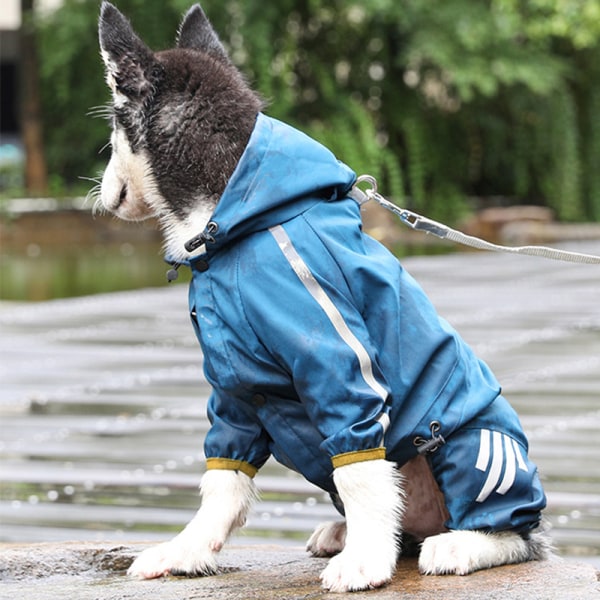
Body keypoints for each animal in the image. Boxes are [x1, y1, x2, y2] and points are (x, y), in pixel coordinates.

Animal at [96, 3, 552, 592]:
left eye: (113, 125)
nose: (102, 195)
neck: (235, 223)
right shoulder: (233, 386)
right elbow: (224, 480)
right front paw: (187, 549)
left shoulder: (335, 360)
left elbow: (359, 468)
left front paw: (365, 565)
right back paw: (351, 533)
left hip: (474, 445)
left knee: (517, 532)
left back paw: (463, 543)